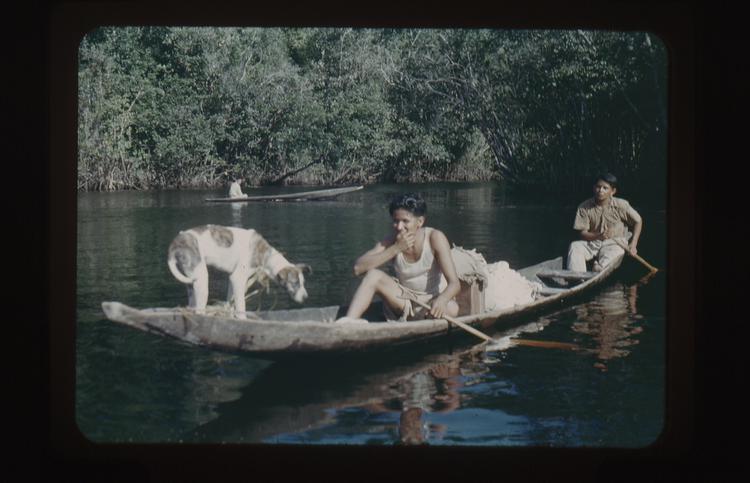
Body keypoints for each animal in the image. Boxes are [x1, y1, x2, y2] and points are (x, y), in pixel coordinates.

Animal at [168, 226, 312, 320]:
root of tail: (174, 244)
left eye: (303, 282)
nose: (306, 298)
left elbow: (231, 301)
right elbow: (241, 305)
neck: (266, 255)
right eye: (295, 283)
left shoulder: (232, 279)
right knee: (199, 312)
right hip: (201, 279)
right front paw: (242, 319)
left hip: (191, 283)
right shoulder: (238, 278)